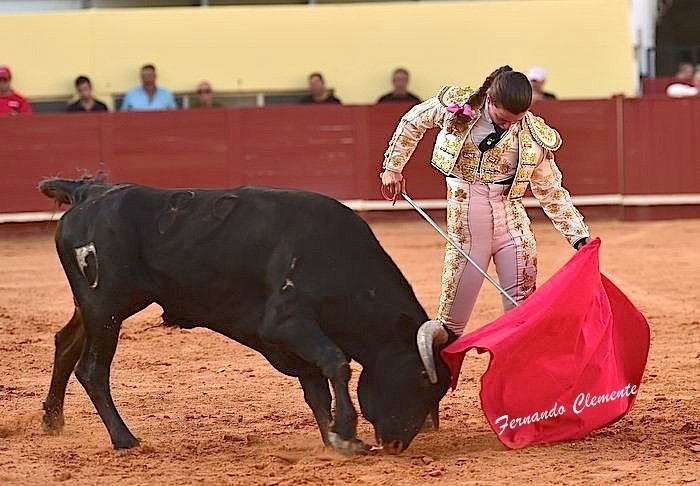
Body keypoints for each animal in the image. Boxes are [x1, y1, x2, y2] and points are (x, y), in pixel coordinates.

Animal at [38, 177, 454, 455]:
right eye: (422, 378)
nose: (397, 443)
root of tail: (89, 193)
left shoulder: (294, 342)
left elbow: (317, 388)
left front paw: (331, 437)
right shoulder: (288, 323)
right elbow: (336, 364)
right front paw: (346, 434)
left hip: (97, 307)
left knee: (65, 344)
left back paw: (52, 420)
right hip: (106, 306)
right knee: (92, 370)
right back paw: (124, 439)